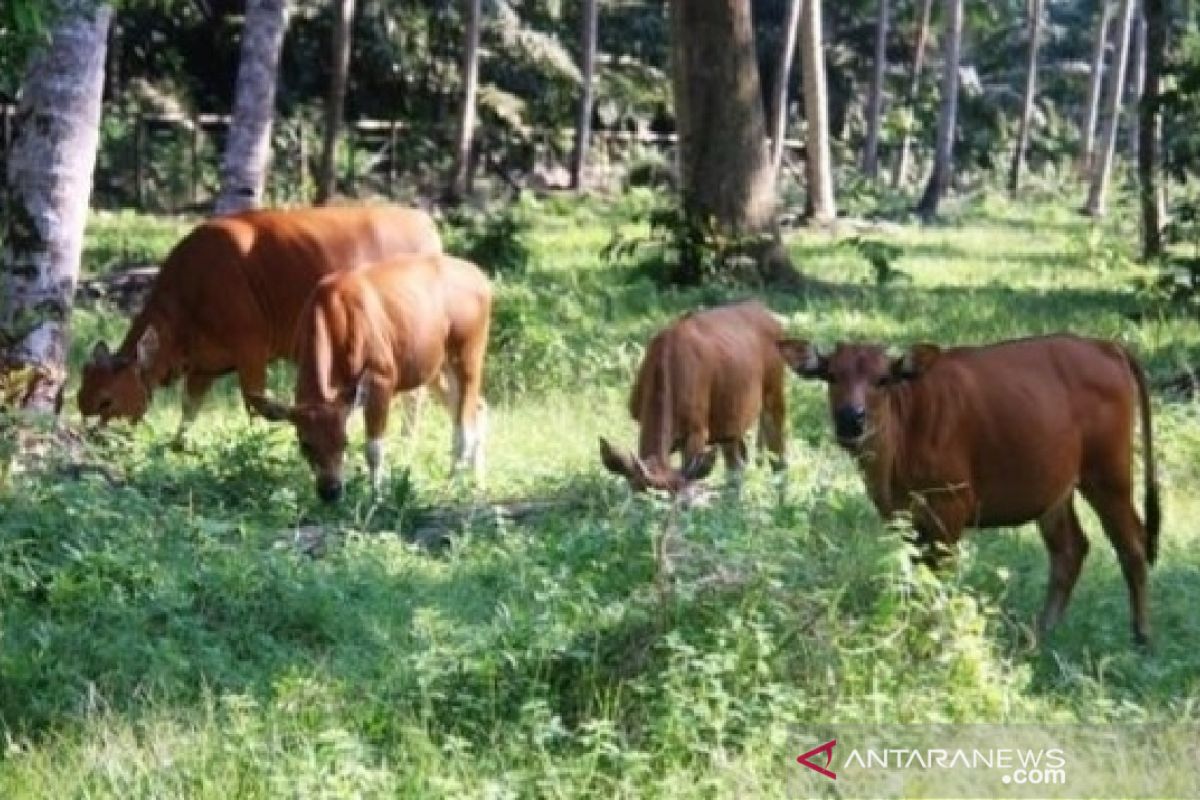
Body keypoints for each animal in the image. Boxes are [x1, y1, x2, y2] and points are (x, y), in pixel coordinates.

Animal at [76, 203, 441, 441]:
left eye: (107, 400)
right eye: (82, 398)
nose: (94, 438)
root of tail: (425, 225)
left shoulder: (251, 351)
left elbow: (257, 405)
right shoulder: (204, 365)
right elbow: (189, 409)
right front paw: (177, 446)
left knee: (414, 397)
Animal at [246, 251, 489, 501]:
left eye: (344, 442)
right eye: (305, 444)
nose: (330, 491)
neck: (334, 317)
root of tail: (480, 277)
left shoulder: (382, 378)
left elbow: (373, 448)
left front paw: (376, 497)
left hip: (468, 354)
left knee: (464, 426)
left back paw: (452, 486)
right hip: (435, 369)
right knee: (478, 407)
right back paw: (477, 482)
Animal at [597, 303, 787, 496]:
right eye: (634, 492)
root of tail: (764, 311)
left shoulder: (698, 430)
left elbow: (691, 475)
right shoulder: (639, 417)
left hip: (775, 392)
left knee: (778, 457)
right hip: (731, 421)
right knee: (737, 465)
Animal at [777, 335, 1161, 647]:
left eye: (882, 379)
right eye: (831, 375)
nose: (850, 419)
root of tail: (1106, 345)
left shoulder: (952, 505)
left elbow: (939, 577)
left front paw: (932, 636)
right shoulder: (901, 516)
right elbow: (915, 575)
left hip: (1108, 476)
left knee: (1133, 544)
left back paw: (1142, 636)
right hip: (1055, 489)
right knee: (1070, 549)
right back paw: (1040, 634)